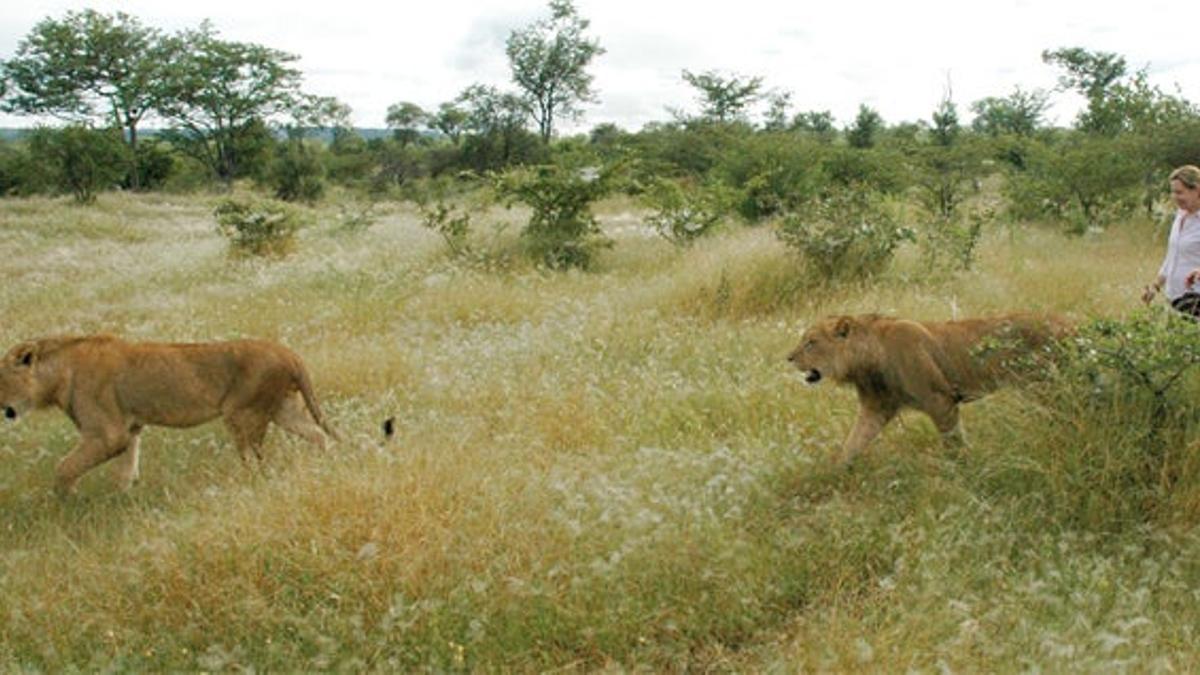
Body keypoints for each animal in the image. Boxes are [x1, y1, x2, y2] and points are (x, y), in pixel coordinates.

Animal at [0, 333, 338, 492]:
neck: (57, 374)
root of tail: (289, 353)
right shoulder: (130, 430)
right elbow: (125, 471)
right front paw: (121, 499)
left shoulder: (107, 434)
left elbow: (64, 467)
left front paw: (66, 500)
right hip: (284, 409)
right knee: (319, 435)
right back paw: (323, 466)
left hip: (242, 414)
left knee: (255, 460)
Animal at [787, 312, 1070, 461]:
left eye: (811, 342)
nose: (788, 357)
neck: (868, 361)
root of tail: (1067, 322)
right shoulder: (875, 408)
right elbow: (853, 443)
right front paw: (835, 474)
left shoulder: (941, 401)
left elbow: (953, 442)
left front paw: (963, 469)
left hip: (1047, 385)